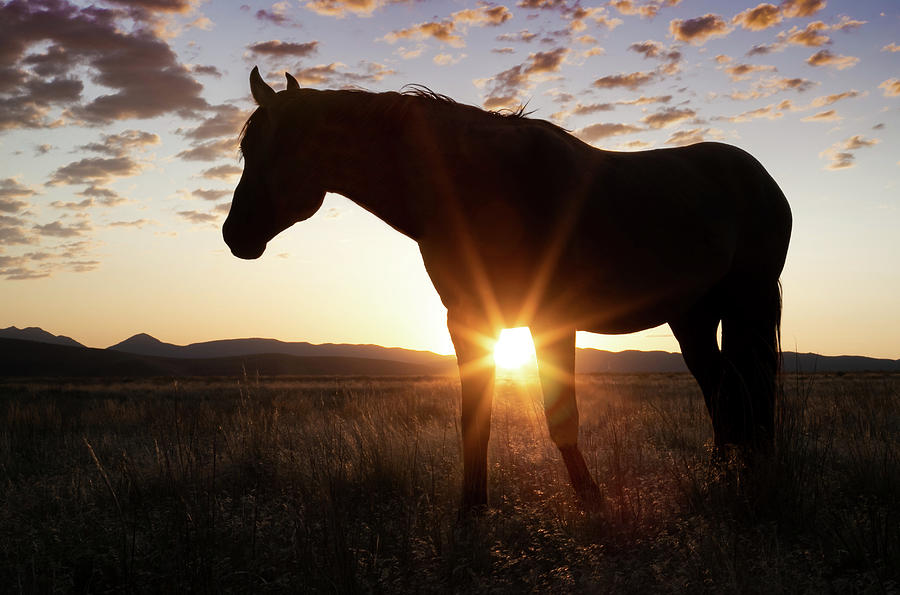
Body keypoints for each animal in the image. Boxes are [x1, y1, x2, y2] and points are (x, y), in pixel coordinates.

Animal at [225, 66, 796, 512]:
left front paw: (592, 501)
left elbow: (561, 417)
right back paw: (723, 473)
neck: (483, 186)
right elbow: (473, 417)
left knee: (746, 385)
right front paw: (471, 509)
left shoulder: (551, 321)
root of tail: (760, 177)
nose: (235, 235)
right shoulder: (467, 321)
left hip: (748, 301)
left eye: (280, 146)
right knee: (721, 387)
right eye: (246, 148)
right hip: (692, 315)